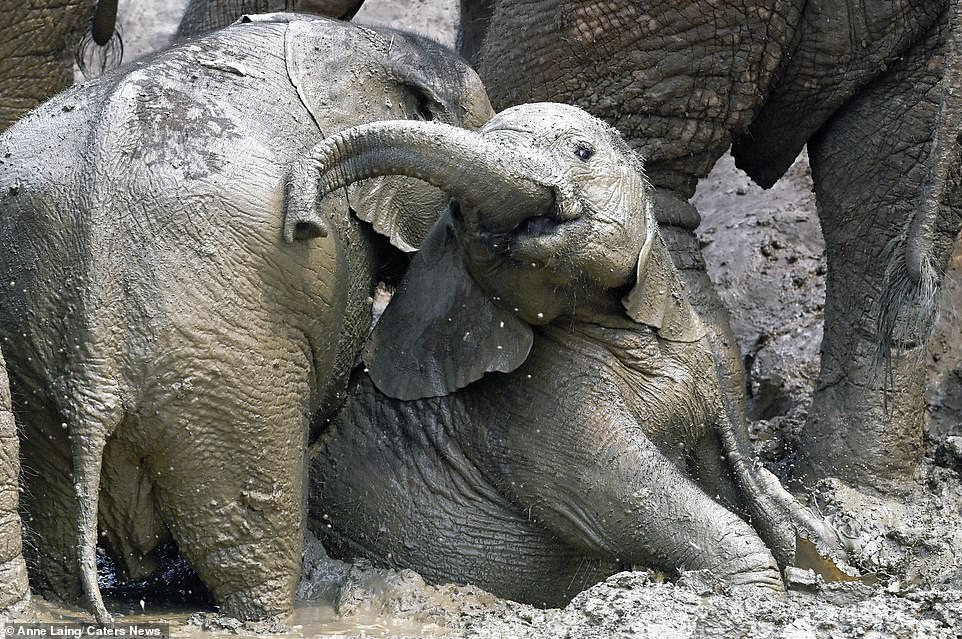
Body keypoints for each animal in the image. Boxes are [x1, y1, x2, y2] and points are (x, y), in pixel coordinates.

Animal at [0, 12, 492, 624]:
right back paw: (274, 612)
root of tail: (94, 378)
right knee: (257, 523)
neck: (371, 44)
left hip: (37, 366)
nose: (303, 222)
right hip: (228, 367)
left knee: (54, 522)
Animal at [300, 104, 848, 604]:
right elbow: (622, 492)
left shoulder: (698, 360)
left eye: (582, 152)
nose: (303, 220)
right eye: (458, 211)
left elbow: (731, 473)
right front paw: (757, 598)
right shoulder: (529, 406)